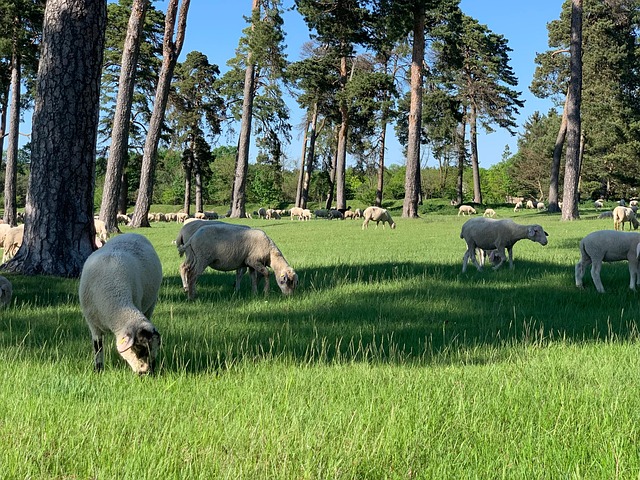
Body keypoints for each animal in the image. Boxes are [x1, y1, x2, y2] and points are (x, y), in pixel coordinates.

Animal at [79, 233, 162, 374]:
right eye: (139, 348)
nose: (146, 373)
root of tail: (132, 234)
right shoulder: (93, 324)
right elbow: (98, 347)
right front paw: (98, 370)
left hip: (151, 303)